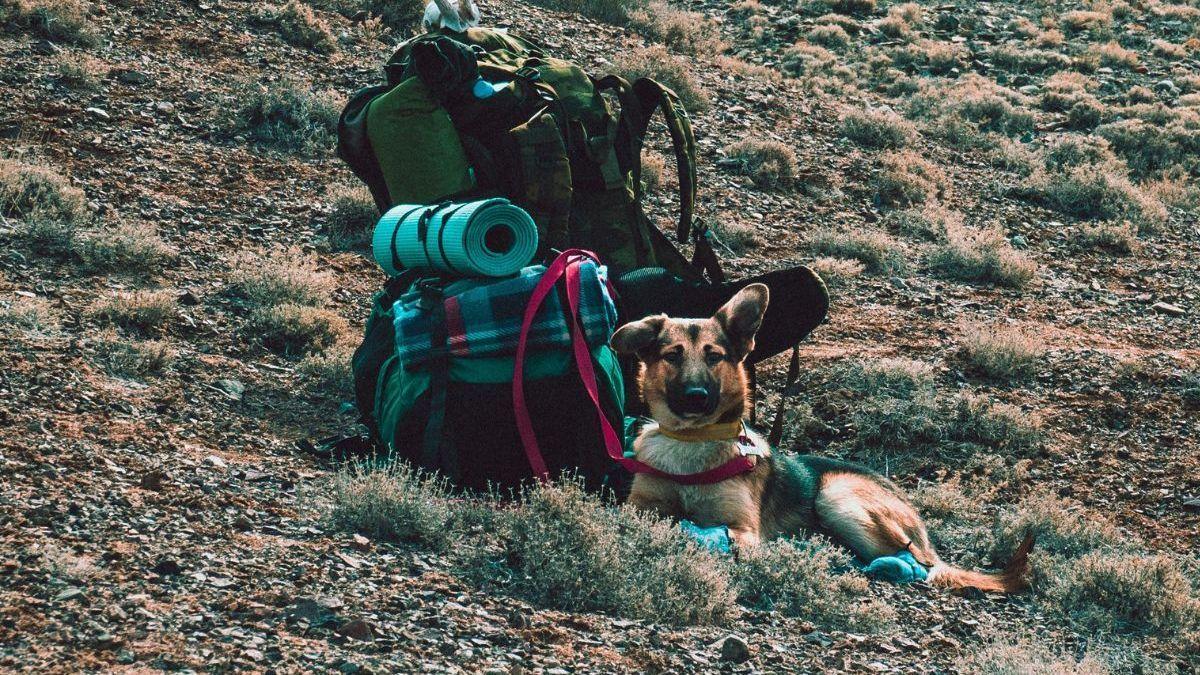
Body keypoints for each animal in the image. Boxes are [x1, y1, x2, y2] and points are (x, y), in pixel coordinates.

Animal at [609, 281, 1032, 590]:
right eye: (673, 355)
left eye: (715, 357)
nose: (697, 397)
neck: (691, 444)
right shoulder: (641, 505)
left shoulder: (743, 529)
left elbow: (719, 534)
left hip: (837, 497)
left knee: (918, 564)